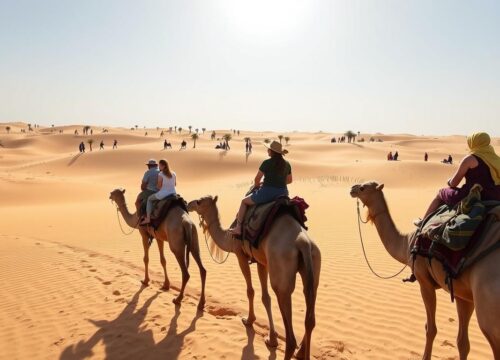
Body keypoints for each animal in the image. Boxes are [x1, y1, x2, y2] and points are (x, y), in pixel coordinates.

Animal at [187, 197, 320, 360]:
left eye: (199, 202)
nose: (188, 204)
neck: (228, 236)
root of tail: (303, 242)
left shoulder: (240, 254)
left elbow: (250, 291)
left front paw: (249, 320)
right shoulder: (262, 261)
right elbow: (265, 298)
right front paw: (272, 339)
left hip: (281, 274)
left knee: (290, 335)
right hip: (314, 265)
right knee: (310, 316)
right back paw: (301, 352)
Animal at [350, 181, 500, 358]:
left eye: (363, 188)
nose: (352, 189)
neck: (406, 243)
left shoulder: (424, 282)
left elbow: (430, 329)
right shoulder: (463, 293)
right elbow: (462, 342)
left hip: (488, 310)